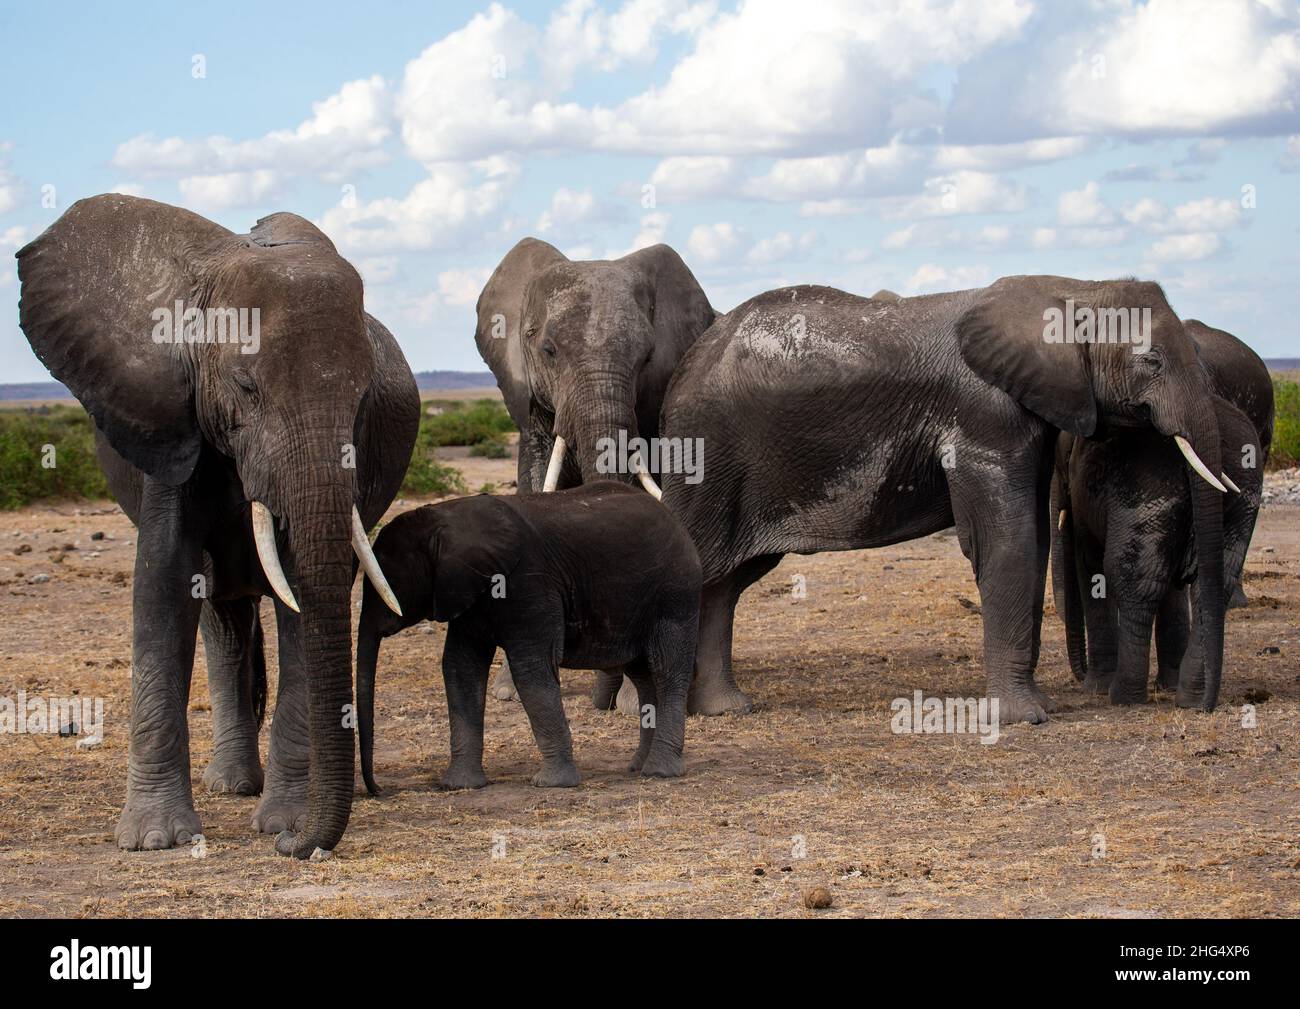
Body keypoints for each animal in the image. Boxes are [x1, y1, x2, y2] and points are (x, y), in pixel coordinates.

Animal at [16, 193, 421, 852]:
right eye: (245, 386)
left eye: (364, 398)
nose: (296, 850)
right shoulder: (171, 422)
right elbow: (162, 581)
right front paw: (154, 840)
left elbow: (300, 598)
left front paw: (283, 824)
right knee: (219, 617)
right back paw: (230, 786)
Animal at [353, 483, 702, 795]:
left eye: (388, 578)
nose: (380, 790)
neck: (447, 518)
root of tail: (676, 522)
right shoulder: (469, 595)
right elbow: (459, 667)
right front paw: (458, 786)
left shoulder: (529, 584)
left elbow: (530, 668)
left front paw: (552, 784)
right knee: (643, 676)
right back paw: (637, 767)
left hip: (675, 593)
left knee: (667, 670)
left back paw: (659, 772)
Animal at [660, 271, 1237, 722]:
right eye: (1152, 361)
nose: (1198, 706)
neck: (1074, 288)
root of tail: (688, 362)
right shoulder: (985, 416)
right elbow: (1008, 542)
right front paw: (1024, 719)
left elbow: (1031, 541)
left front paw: (1035, 706)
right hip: (706, 451)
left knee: (727, 583)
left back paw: (726, 709)